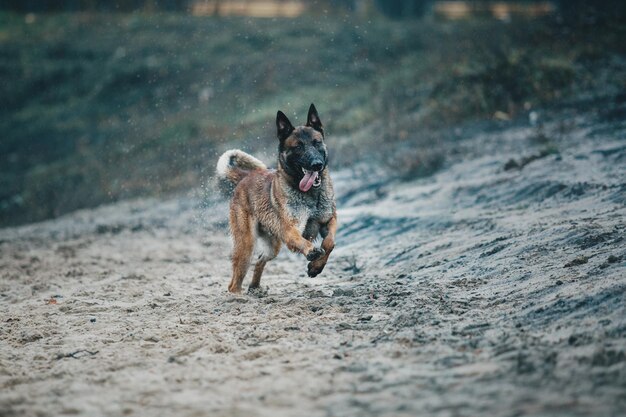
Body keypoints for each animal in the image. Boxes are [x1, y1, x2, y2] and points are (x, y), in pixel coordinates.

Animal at [216, 103, 336, 292]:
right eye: (298, 147)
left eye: (316, 143)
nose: (317, 164)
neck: (311, 195)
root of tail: (246, 176)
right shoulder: (290, 231)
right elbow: (302, 241)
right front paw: (312, 253)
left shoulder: (329, 220)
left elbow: (330, 242)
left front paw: (316, 267)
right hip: (246, 245)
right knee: (234, 282)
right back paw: (238, 295)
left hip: (272, 247)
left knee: (260, 260)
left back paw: (255, 288)